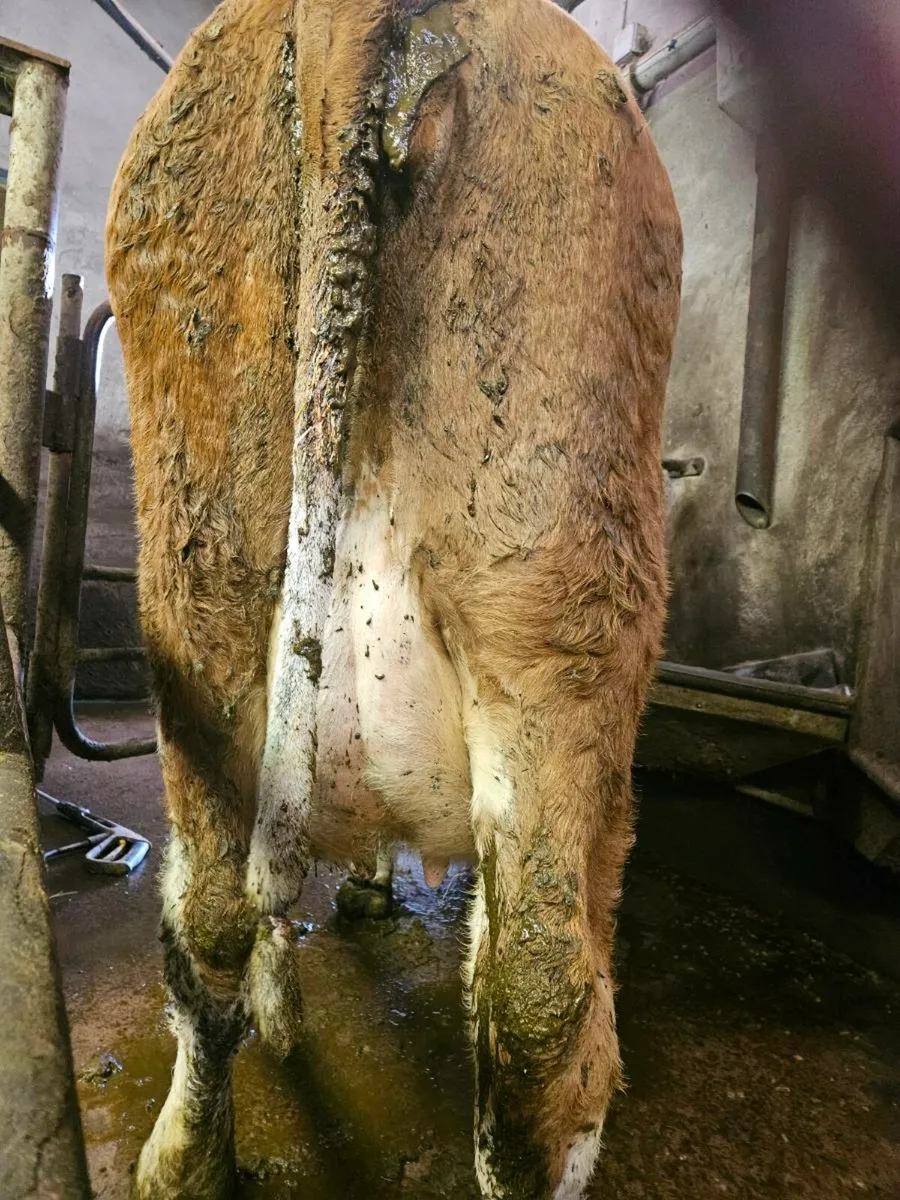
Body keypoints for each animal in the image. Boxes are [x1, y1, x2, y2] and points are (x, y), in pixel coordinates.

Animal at [106, 0, 682, 1195]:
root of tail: (350, 19)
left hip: (203, 575)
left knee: (214, 913)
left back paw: (183, 1156)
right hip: (555, 601)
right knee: (537, 998)